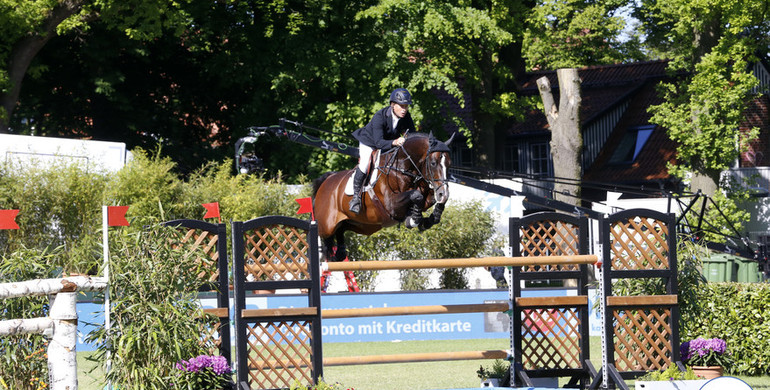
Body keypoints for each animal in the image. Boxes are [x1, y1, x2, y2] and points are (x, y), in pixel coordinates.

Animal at [312, 132, 452, 262]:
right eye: (433, 163)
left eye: (449, 164)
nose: (443, 193)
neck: (402, 168)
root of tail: (327, 180)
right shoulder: (391, 204)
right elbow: (416, 195)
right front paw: (414, 219)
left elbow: (430, 199)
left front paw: (429, 219)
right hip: (326, 226)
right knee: (323, 238)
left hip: (361, 225)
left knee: (340, 233)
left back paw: (339, 253)